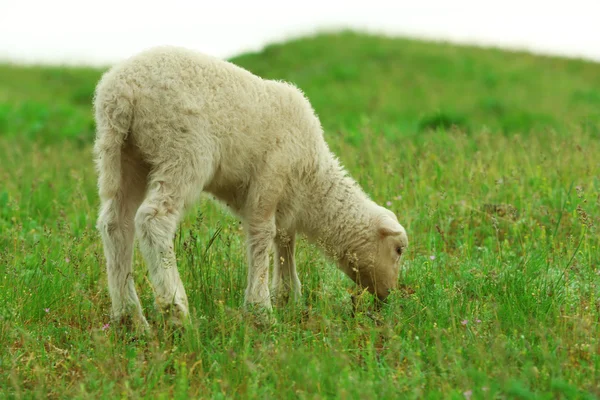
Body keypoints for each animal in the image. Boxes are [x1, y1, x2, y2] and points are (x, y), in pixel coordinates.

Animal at [92, 46, 408, 328]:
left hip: (123, 156)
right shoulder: (270, 177)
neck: (314, 181)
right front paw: (262, 310)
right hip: (181, 150)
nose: (388, 297)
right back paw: (175, 309)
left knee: (115, 224)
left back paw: (129, 317)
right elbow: (263, 234)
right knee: (153, 219)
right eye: (399, 250)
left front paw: (287, 297)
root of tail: (121, 91)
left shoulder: (285, 198)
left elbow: (284, 240)